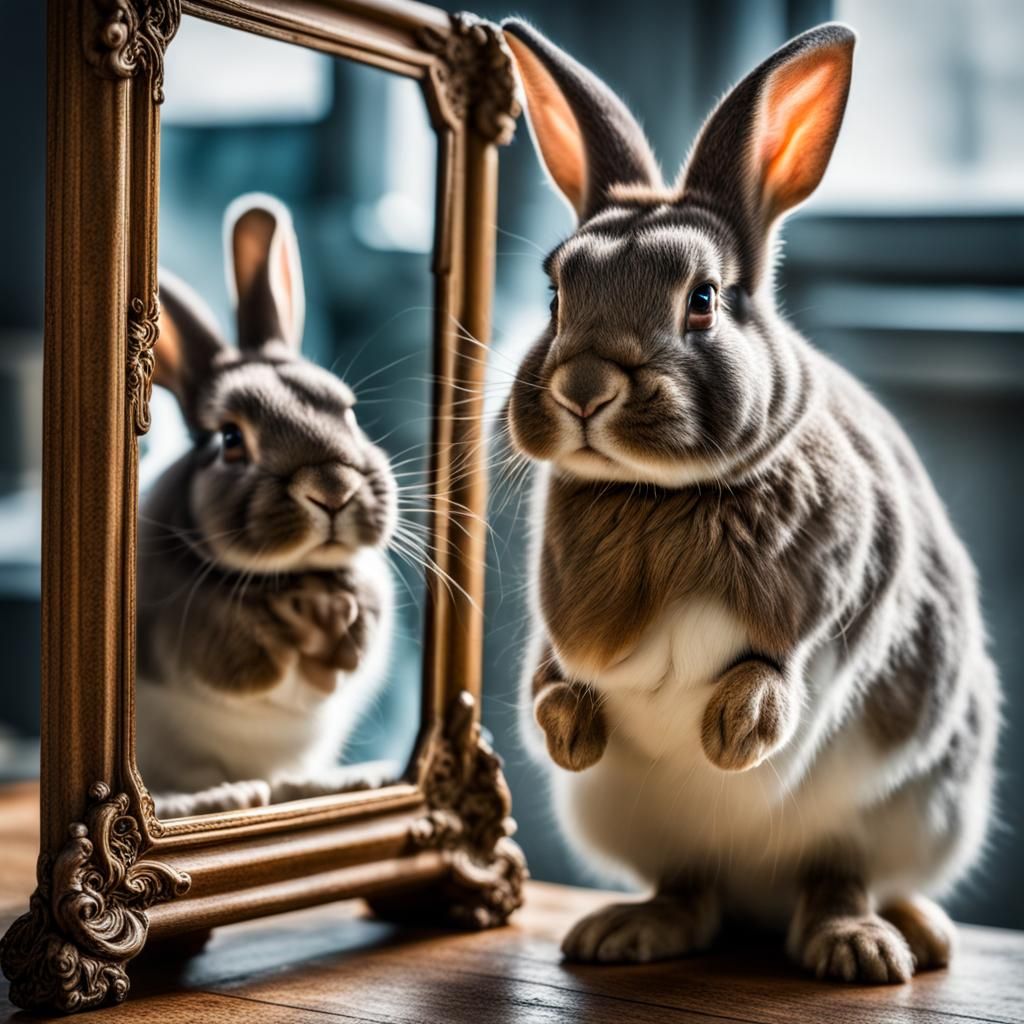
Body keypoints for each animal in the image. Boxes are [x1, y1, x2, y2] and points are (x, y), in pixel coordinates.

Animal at [135, 194, 397, 817]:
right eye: (232, 440)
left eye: (348, 411)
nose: (332, 488)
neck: (297, 574)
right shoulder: (194, 632)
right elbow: (253, 666)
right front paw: (304, 622)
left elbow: (348, 654)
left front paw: (335, 616)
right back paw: (213, 798)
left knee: (284, 786)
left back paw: (345, 783)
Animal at [501, 19, 1000, 984]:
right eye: (554, 293)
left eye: (702, 300)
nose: (583, 390)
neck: (659, 494)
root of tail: (760, 906)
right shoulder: (555, 627)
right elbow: (550, 674)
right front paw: (571, 735)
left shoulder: (838, 601)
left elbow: (780, 668)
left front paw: (732, 739)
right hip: (655, 832)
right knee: (692, 892)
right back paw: (623, 933)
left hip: (896, 814)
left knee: (838, 879)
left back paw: (875, 946)